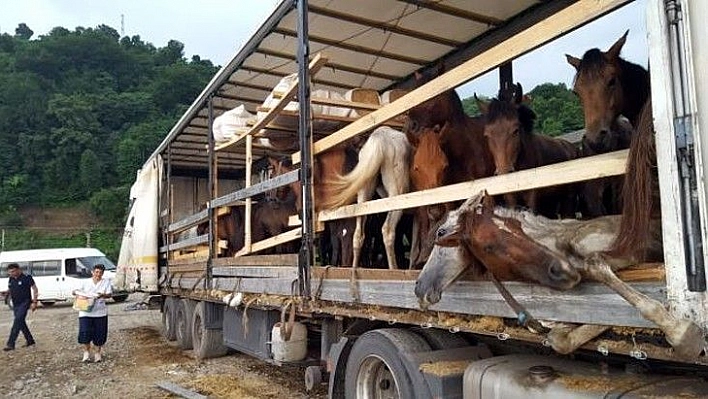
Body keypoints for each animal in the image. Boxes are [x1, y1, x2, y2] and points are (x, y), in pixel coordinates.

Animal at [476, 82, 580, 217]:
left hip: (568, 199)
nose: (504, 173)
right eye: (487, 135)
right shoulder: (511, 199)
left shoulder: (532, 198)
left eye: (516, 130)